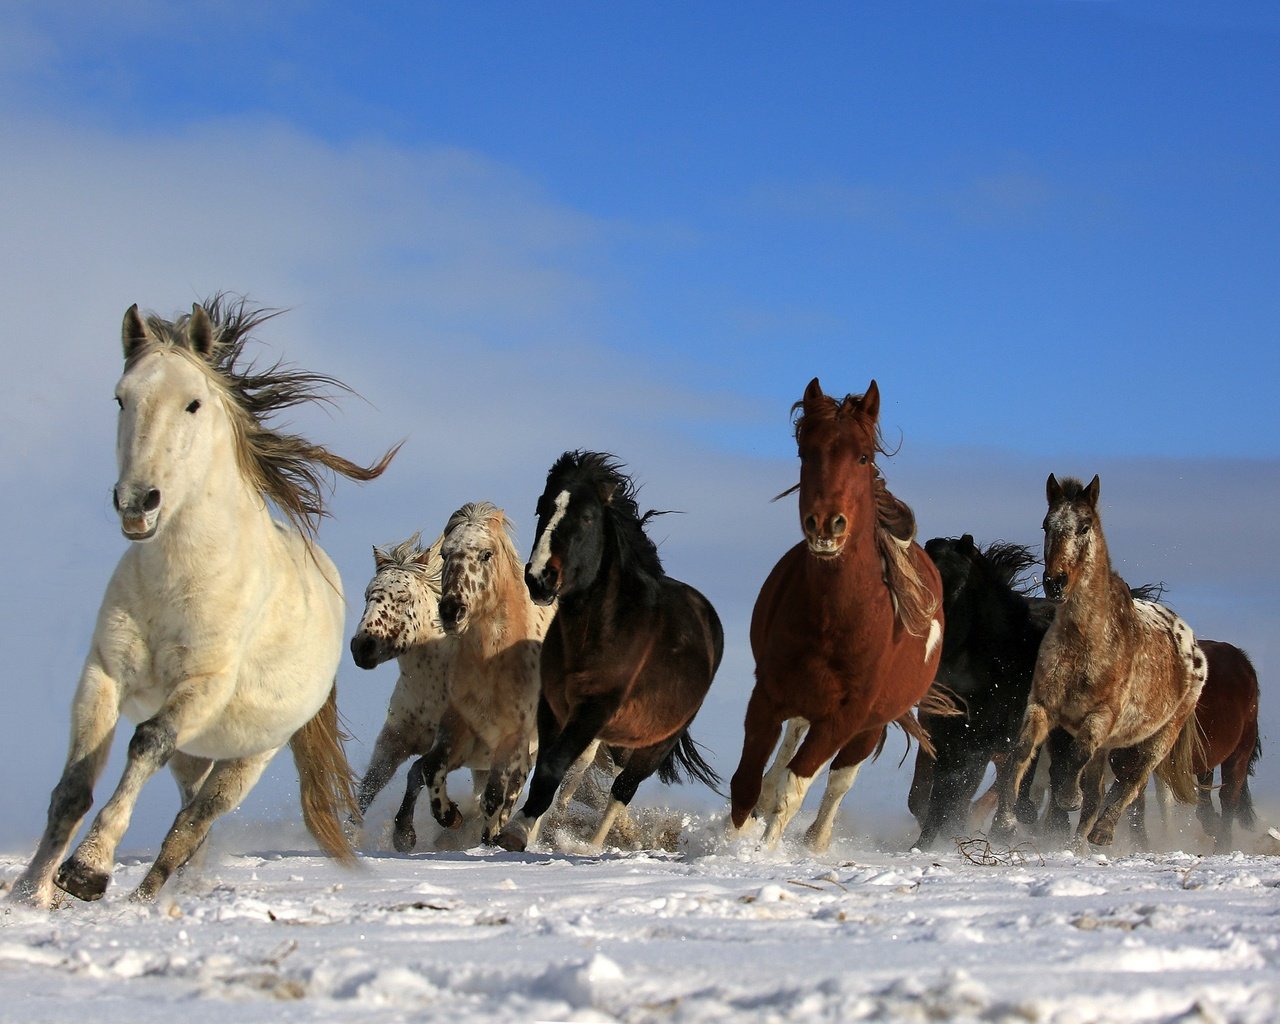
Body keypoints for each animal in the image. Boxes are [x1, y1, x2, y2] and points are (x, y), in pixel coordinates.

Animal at [10, 295, 394, 906]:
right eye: (121, 398)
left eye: (192, 403)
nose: (137, 503)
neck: (179, 584)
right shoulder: (103, 674)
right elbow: (72, 786)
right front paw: (28, 892)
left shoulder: (203, 687)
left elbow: (145, 743)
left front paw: (87, 871)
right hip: (198, 753)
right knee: (190, 814)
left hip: (249, 756)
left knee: (193, 821)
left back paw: (144, 898)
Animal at [494, 453, 727, 849]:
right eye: (542, 507)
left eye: (588, 517)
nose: (539, 578)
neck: (597, 633)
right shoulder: (553, 705)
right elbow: (548, 766)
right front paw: (527, 831)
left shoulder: (595, 708)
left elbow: (553, 768)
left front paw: (515, 832)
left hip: (656, 742)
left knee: (623, 788)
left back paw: (591, 848)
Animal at [727, 376, 947, 849]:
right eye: (806, 453)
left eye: (863, 456)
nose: (826, 524)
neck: (835, 618)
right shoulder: (768, 693)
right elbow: (747, 781)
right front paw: (728, 844)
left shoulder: (847, 717)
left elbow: (795, 789)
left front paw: (761, 853)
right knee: (785, 751)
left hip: (870, 725)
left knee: (838, 782)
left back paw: (816, 841)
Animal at [988, 476, 1208, 849]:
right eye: (1046, 524)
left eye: (1085, 526)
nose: (1055, 582)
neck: (1085, 643)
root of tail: (1191, 643)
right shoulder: (1042, 706)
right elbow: (1021, 752)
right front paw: (1005, 823)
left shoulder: (1100, 718)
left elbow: (1075, 759)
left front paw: (1067, 798)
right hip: (1109, 746)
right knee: (1099, 793)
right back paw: (1077, 844)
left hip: (1160, 737)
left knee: (1132, 782)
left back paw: (1103, 831)